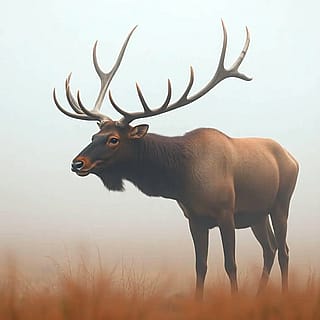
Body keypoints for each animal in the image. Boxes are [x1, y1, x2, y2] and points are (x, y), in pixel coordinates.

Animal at [53, 21, 298, 298]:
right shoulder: (194, 218)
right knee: (270, 248)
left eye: (114, 139)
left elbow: (230, 265)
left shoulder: (226, 212)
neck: (183, 179)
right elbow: (200, 266)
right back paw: (259, 294)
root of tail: (292, 157)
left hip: (281, 203)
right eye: (94, 135)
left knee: (284, 250)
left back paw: (284, 293)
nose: (77, 163)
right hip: (257, 214)